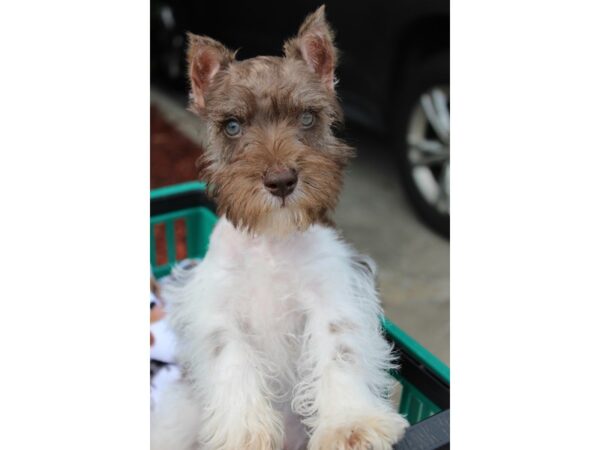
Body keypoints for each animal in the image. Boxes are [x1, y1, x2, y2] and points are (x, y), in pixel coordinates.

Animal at [152, 6, 410, 450]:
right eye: (232, 126)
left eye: (307, 117)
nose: (281, 182)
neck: (271, 241)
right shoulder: (215, 307)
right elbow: (231, 357)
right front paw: (244, 432)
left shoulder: (333, 292)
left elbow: (339, 347)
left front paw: (351, 424)